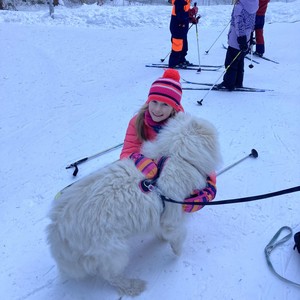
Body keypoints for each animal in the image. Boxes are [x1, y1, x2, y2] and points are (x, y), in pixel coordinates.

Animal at [46, 112, 220, 296]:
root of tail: (56, 229)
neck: (174, 155)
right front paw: (177, 252)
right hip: (115, 251)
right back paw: (134, 286)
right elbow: (178, 236)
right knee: (111, 277)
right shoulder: (172, 216)